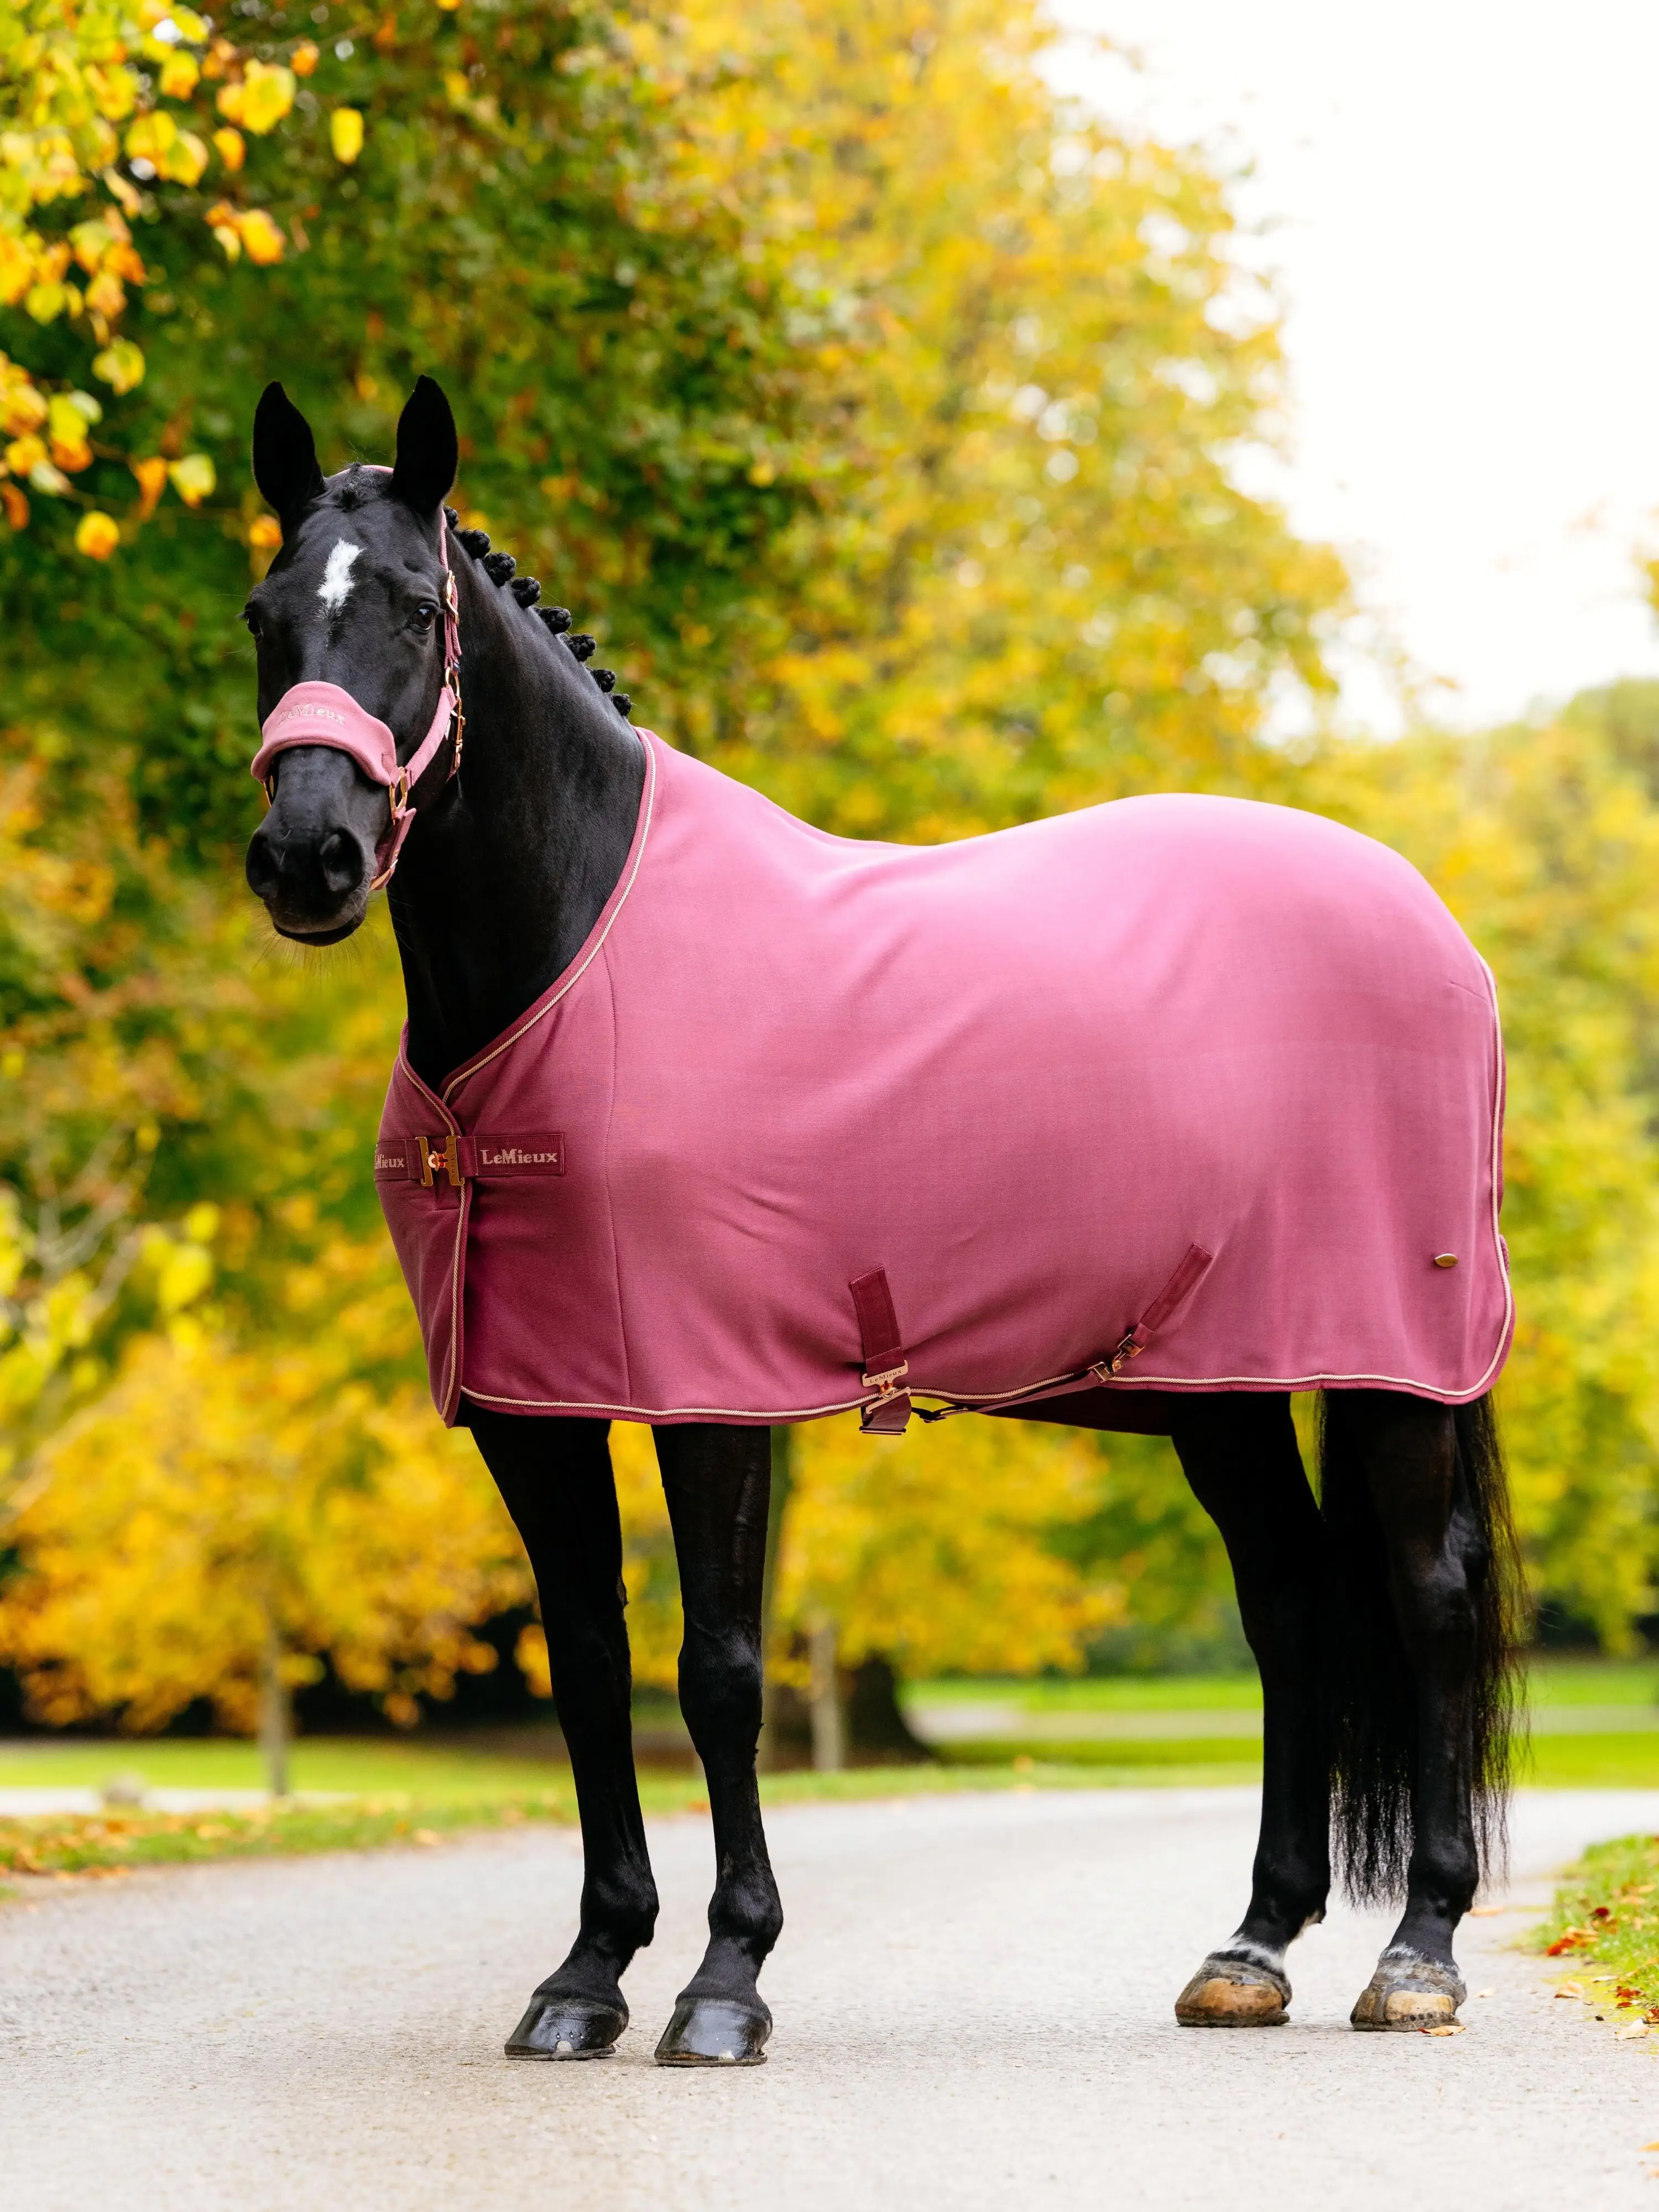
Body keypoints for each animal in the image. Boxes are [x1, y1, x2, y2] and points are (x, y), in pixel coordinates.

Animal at [241, 375, 1523, 2067]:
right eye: (265, 615)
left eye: (412, 606)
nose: (306, 859)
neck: (580, 952)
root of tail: (1433, 925)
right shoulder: (536, 1406)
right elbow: (589, 1665)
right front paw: (586, 1974)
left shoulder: (712, 1389)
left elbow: (718, 1671)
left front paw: (725, 1981)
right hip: (1223, 1391)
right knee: (1293, 1600)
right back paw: (1251, 1946)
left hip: (1392, 1367)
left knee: (1427, 1601)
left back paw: (1417, 1953)